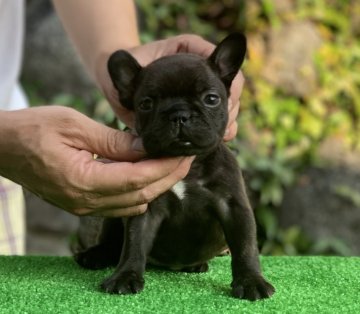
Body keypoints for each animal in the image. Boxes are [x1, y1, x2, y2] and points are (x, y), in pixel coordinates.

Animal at [74, 33, 274, 300]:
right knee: (113, 240)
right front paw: (125, 276)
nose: (179, 114)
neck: (189, 164)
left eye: (211, 99)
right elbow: (133, 244)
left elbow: (245, 246)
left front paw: (251, 280)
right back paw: (95, 255)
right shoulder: (145, 208)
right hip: (113, 217)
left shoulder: (233, 207)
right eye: (146, 104)